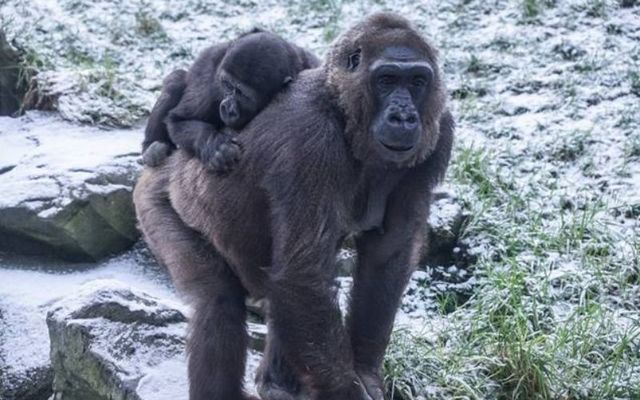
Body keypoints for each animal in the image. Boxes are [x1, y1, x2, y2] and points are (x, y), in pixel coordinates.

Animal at [142, 29, 318, 170]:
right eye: (227, 85)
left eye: (242, 94)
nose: (227, 107)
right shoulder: (209, 86)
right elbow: (178, 119)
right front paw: (215, 146)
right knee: (175, 81)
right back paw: (151, 148)